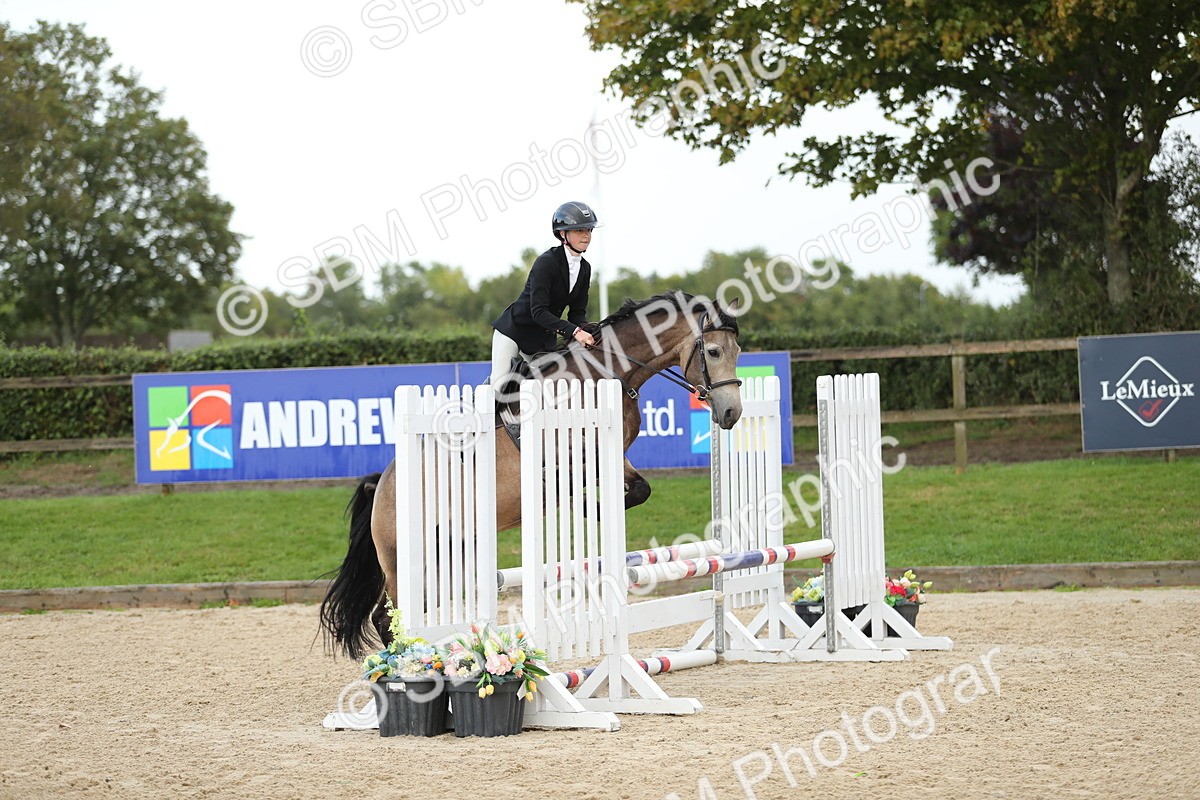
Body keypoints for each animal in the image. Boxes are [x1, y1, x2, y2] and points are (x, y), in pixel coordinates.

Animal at [319, 291, 745, 660]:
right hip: (406, 561)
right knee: (389, 617)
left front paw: (599, 508)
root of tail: (382, 483)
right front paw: (585, 506)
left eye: (738, 352)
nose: (731, 414)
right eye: (713, 351)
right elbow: (568, 481)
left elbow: (639, 488)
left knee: (393, 615)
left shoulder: (612, 455)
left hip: (445, 560)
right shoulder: (563, 455)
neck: (605, 373)